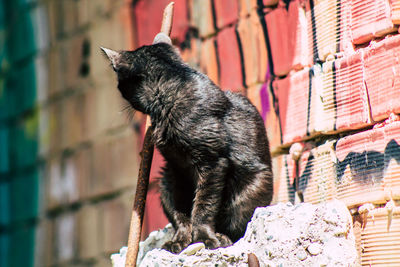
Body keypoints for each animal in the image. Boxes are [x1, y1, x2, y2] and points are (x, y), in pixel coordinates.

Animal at [101, 36, 274, 254]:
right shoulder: (177, 168)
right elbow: (182, 210)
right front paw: (181, 240)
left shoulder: (212, 162)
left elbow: (204, 204)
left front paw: (204, 237)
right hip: (164, 182)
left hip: (251, 189)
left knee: (237, 226)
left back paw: (223, 237)